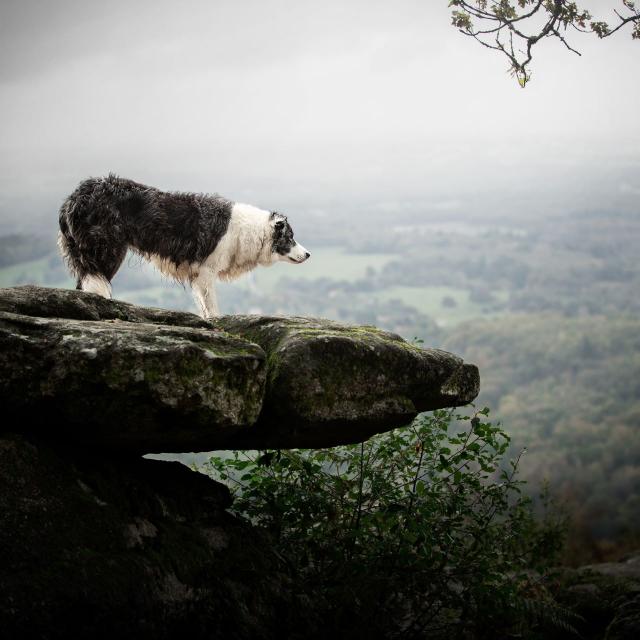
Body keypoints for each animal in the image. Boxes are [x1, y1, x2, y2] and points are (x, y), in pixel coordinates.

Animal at [58, 175, 310, 318]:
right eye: (290, 237)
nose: (308, 254)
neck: (249, 231)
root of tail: (75, 197)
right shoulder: (207, 271)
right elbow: (212, 305)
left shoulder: (198, 276)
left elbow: (203, 304)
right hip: (107, 250)